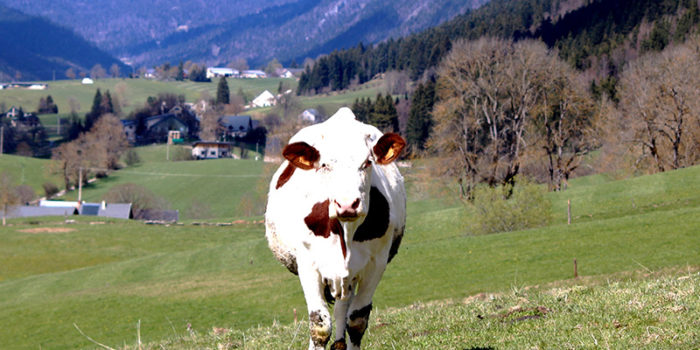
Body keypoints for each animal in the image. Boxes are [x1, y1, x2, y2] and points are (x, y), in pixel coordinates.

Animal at [266, 107, 408, 350]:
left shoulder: (376, 263)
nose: (347, 204)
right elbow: (319, 325)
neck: (345, 231)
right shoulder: (308, 264)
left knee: (343, 308)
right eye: (325, 165)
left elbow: (357, 321)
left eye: (367, 162)